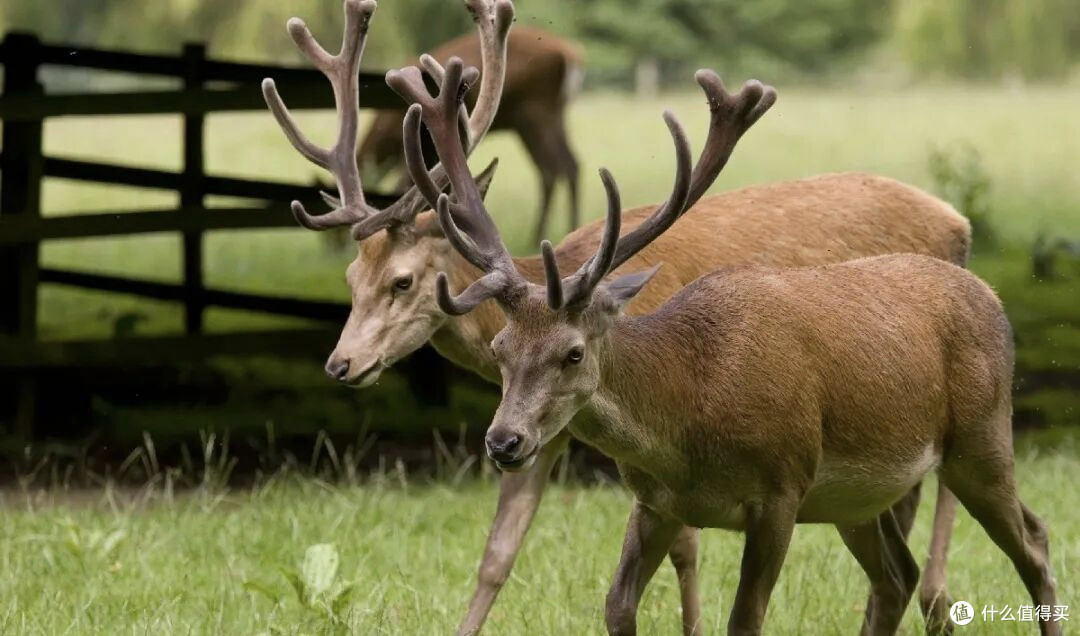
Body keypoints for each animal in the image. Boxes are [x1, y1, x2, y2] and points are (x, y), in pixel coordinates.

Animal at [357, 27, 583, 242]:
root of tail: (571, 54)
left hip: (535, 109)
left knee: (553, 167)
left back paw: (539, 236)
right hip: (549, 114)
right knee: (567, 164)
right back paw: (567, 230)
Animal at [395, 57, 1061, 636]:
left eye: (573, 353)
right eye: (501, 348)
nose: (503, 441)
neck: (689, 422)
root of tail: (991, 294)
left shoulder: (782, 489)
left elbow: (745, 619)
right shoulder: (655, 503)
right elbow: (616, 607)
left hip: (982, 437)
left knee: (1033, 540)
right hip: (859, 499)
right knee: (897, 575)